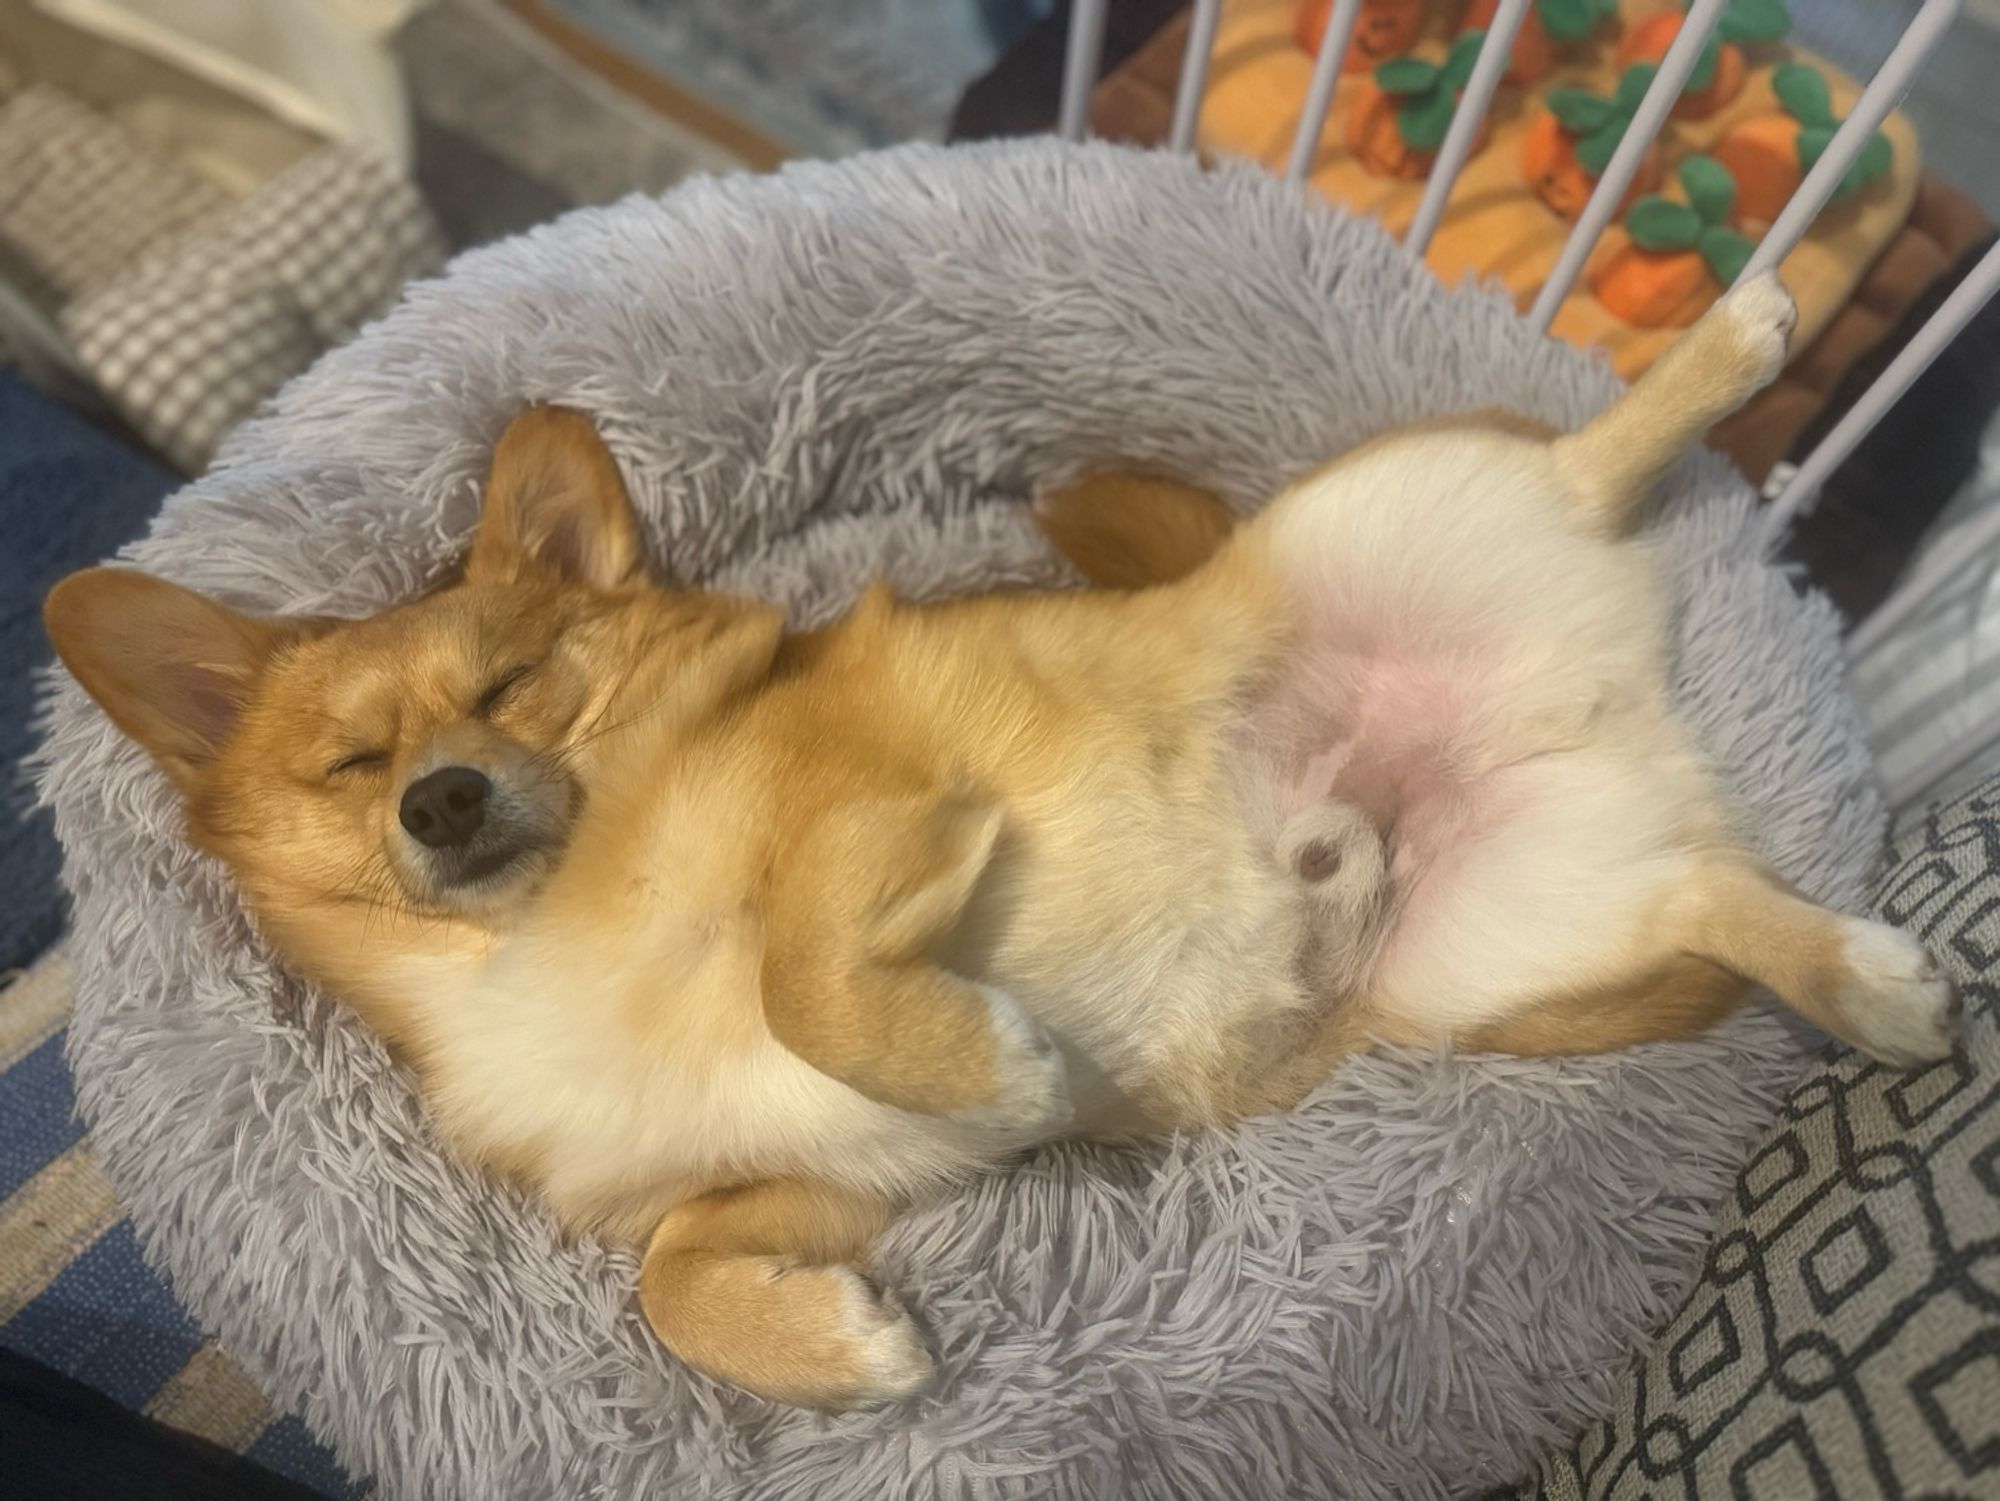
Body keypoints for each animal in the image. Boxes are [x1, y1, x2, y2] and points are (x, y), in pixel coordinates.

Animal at [43, 276, 1952, 1416]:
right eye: (357, 763)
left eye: (516, 688)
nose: (441, 798)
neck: (553, 938)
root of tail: (1590, 672)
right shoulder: (823, 1181)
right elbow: (675, 1269)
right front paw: (832, 1345)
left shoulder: (873, 807)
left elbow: (807, 970)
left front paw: (997, 1055)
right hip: (1491, 937)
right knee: (1714, 890)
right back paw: (1872, 979)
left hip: (1381, 512)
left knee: (1592, 452)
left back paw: (1735, 341)